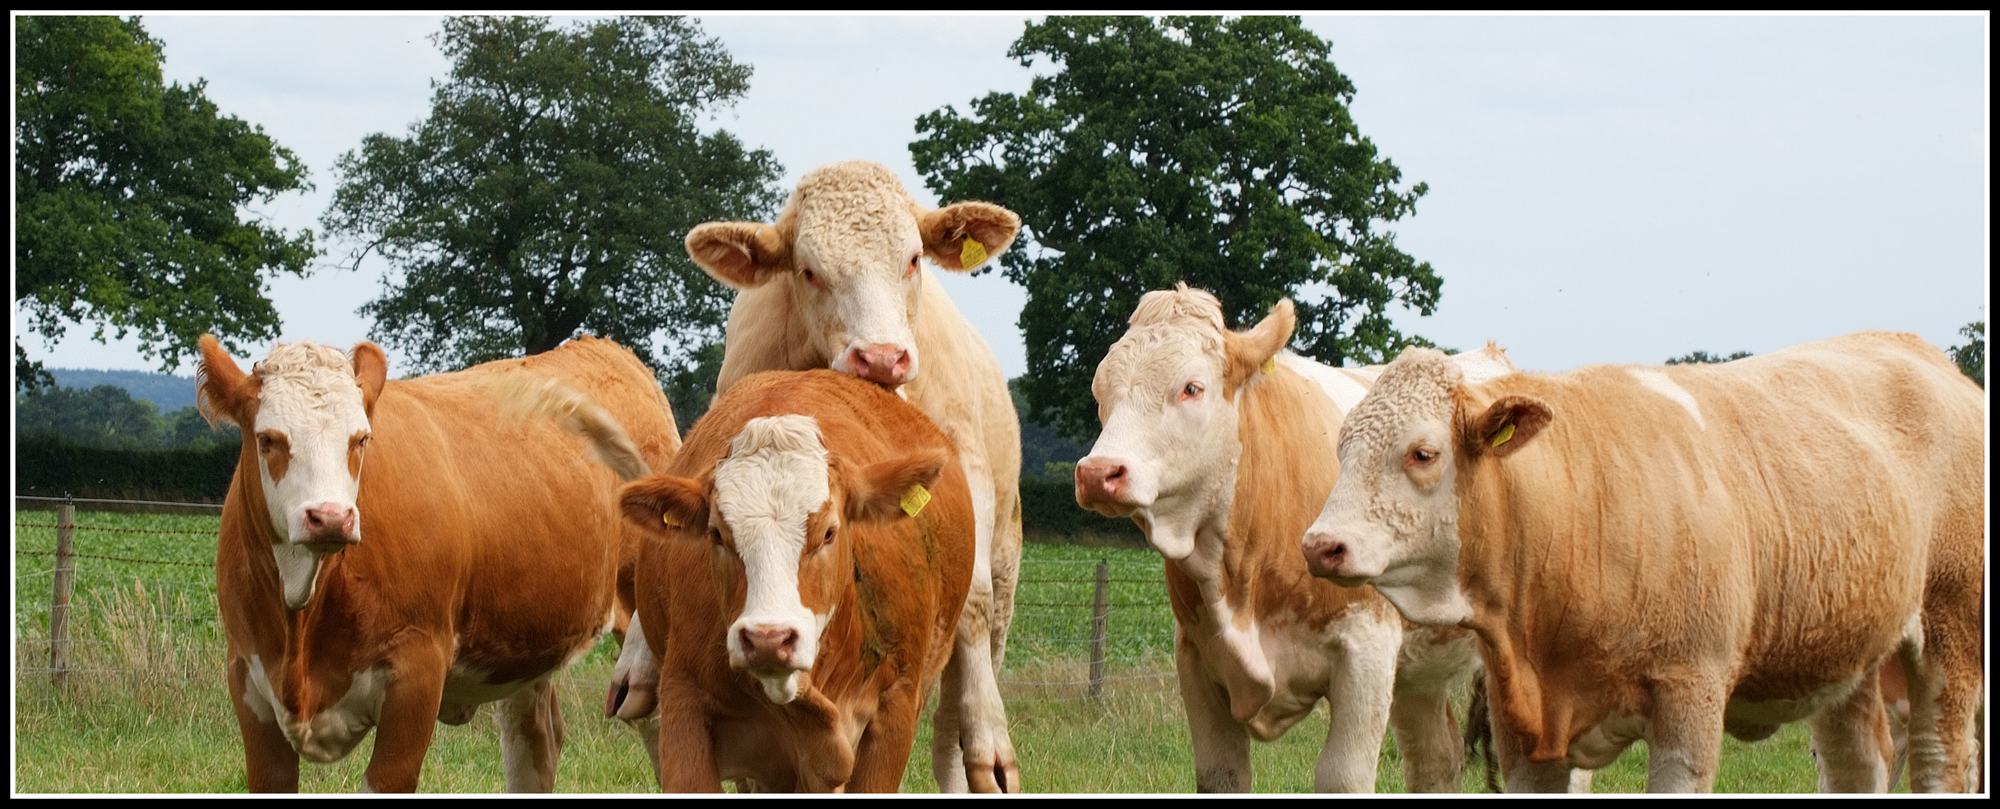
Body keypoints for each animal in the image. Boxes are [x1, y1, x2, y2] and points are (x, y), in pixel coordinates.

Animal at [199, 334, 679, 792]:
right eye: (268, 439)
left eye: (361, 439)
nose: (331, 517)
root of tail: (602, 348)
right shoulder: (248, 677)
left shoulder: (418, 669)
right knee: (535, 737)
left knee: (658, 724)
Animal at [651, 159, 1023, 791]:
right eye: (809, 271)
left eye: (914, 258)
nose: (882, 358)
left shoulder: (964, 470)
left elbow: (970, 606)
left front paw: (989, 741)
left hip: (1003, 562)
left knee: (961, 679)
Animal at [1073, 284, 1515, 792]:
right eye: (1100, 390)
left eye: (1191, 388)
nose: (1098, 472)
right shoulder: (1195, 656)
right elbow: (1220, 774)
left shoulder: (1368, 647)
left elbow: (1342, 776)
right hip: (1420, 674)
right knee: (1436, 759)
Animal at [1301, 333, 1986, 792]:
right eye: (1341, 448)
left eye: (1422, 453)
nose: (1319, 544)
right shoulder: (1522, 728)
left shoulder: (1691, 695)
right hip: (1848, 654)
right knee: (1858, 763)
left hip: (1950, 640)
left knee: (1940, 762)